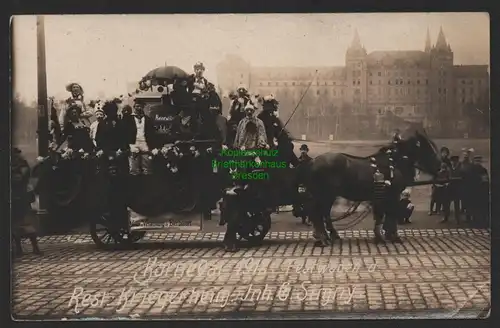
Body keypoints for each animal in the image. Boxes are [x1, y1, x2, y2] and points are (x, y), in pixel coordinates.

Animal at [304, 124, 442, 247]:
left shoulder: (384, 197)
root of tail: (313, 161)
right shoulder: (392, 195)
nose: (440, 168)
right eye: (428, 148)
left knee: (323, 214)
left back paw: (329, 236)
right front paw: (392, 236)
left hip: (327, 196)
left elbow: (384, 216)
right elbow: (390, 215)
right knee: (318, 214)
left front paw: (382, 236)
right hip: (325, 195)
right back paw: (323, 238)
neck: (394, 163)